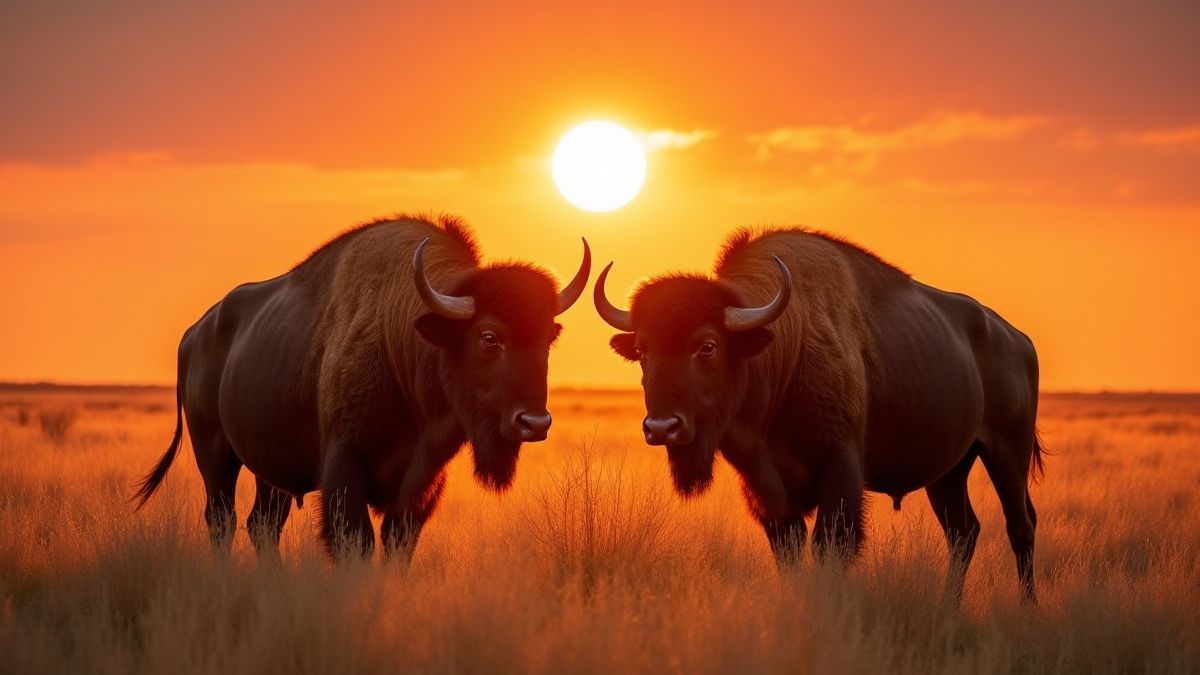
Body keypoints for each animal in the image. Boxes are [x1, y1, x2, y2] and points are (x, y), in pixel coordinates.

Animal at [134, 214, 590, 559]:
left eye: (549, 335)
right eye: (489, 337)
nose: (534, 423)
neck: (404, 334)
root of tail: (193, 335)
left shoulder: (422, 484)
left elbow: (397, 543)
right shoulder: (344, 464)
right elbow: (356, 542)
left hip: (269, 473)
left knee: (262, 525)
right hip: (214, 452)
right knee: (222, 520)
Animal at [595, 227, 1043, 601]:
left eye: (707, 346)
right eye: (642, 350)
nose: (661, 427)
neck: (782, 348)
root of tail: (1019, 341)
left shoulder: (840, 467)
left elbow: (831, 545)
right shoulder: (766, 489)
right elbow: (788, 548)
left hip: (1007, 451)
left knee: (1020, 526)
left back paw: (1027, 607)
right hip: (948, 473)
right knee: (963, 533)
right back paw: (950, 606)